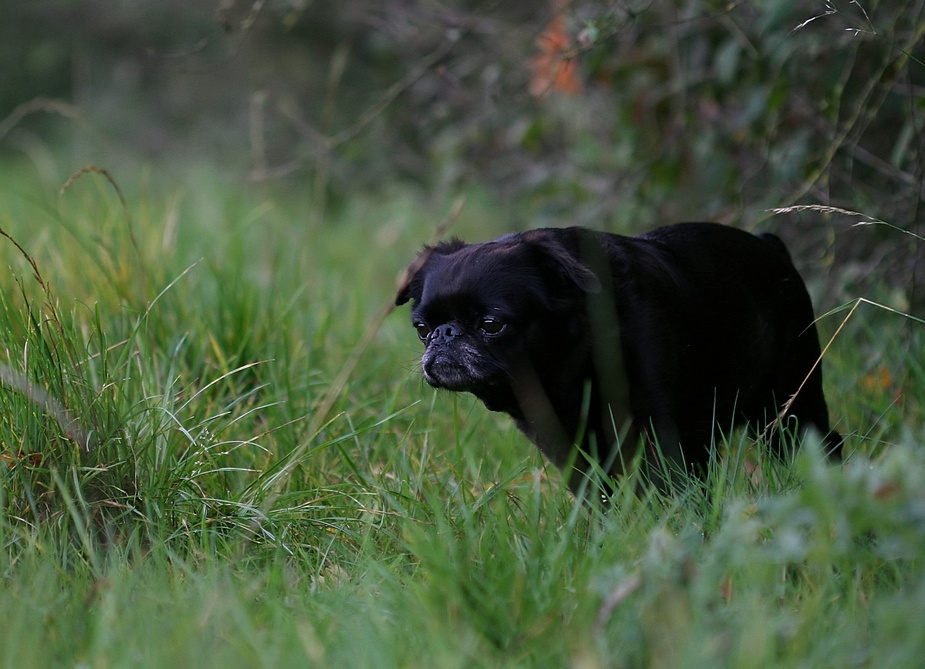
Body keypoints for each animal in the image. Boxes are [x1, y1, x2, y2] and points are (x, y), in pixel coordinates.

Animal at [394, 224, 840, 490]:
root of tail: (770, 245)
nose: (444, 335)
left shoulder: (657, 428)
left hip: (791, 405)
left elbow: (664, 482)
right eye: (421, 328)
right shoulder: (566, 445)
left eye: (491, 324)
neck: (567, 369)